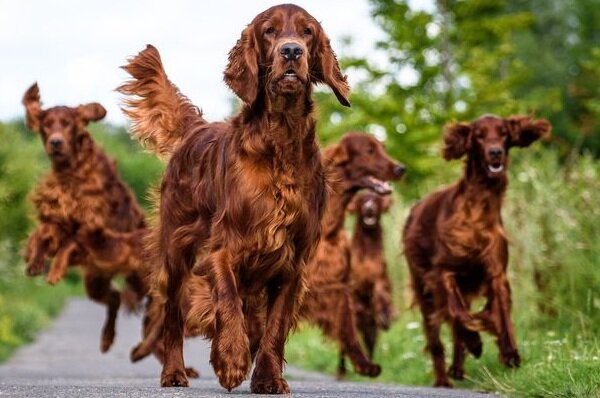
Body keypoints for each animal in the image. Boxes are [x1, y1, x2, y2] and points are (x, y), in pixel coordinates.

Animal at [22, 82, 148, 352]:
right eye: (47, 124)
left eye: (67, 123)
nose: (55, 142)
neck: (71, 171)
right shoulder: (58, 217)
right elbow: (42, 232)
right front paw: (34, 260)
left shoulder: (92, 225)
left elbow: (70, 242)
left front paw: (55, 270)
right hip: (95, 281)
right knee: (113, 298)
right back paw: (106, 339)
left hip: (134, 277)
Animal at [118, 4, 350, 394]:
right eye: (270, 31)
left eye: (307, 32)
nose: (292, 51)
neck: (280, 142)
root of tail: (196, 131)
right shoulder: (222, 251)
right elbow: (226, 299)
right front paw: (230, 361)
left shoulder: (292, 262)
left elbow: (275, 326)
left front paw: (269, 377)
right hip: (175, 252)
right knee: (172, 317)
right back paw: (174, 372)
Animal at [400, 113, 552, 388]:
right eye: (479, 135)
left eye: (503, 133)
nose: (495, 152)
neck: (478, 207)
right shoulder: (444, 272)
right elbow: (459, 314)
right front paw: (475, 341)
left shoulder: (495, 272)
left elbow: (500, 314)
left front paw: (510, 352)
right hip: (423, 289)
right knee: (437, 338)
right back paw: (443, 378)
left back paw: (458, 367)